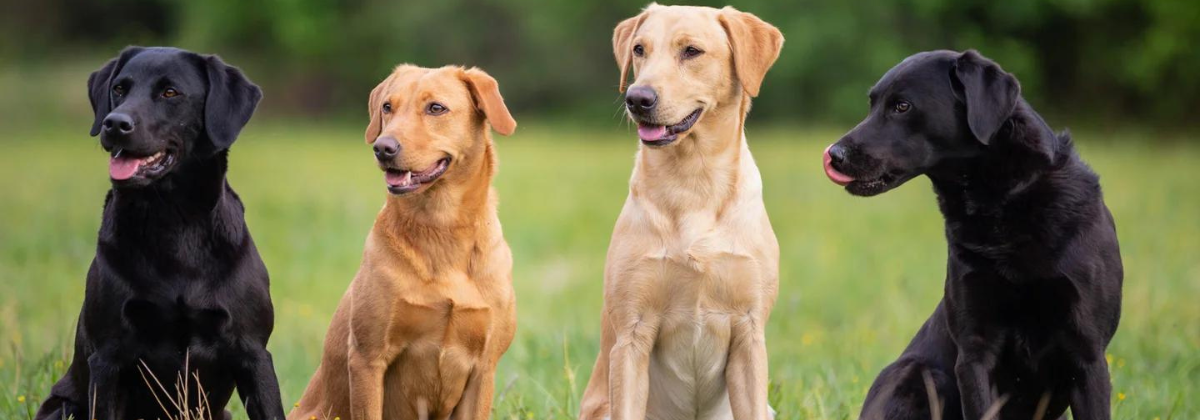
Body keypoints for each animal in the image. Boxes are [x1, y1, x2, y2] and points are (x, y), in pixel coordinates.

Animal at [35, 46, 283, 420]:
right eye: (119, 89)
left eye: (170, 93)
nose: (114, 123)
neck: (172, 223)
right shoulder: (108, 358)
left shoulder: (253, 353)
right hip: (62, 407)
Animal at [290, 64, 520, 420]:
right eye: (388, 107)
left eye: (436, 108)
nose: (383, 148)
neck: (441, 228)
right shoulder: (368, 358)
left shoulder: (484, 368)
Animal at [580, 4, 787, 420]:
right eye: (639, 49)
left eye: (691, 51)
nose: (637, 98)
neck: (693, 181)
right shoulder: (632, 335)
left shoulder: (748, 332)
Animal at [825, 50, 1123, 420]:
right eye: (872, 104)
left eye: (902, 106)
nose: (834, 154)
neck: (1004, 202)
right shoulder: (974, 352)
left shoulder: (1088, 355)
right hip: (919, 374)